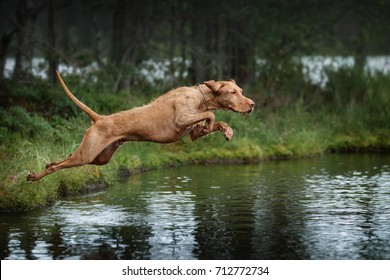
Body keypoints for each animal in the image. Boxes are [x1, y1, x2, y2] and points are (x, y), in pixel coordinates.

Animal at [25, 71, 254, 182]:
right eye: (233, 92)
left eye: (241, 91)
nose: (251, 104)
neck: (200, 96)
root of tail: (99, 118)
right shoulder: (181, 120)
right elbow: (211, 114)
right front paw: (213, 124)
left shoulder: (192, 133)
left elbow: (212, 121)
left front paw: (226, 130)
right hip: (88, 154)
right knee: (57, 166)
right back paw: (34, 176)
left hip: (99, 157)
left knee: (62, 160)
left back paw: (45, 166)